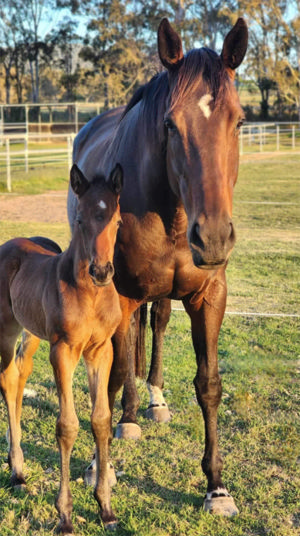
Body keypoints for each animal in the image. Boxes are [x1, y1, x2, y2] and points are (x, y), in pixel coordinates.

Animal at [0, 165, 122, 532]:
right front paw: (65, 515)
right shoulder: (63, 351)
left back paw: (16, 464)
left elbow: (101, 420)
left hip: (32, 334)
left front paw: (105, 508)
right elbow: (67, 426)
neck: (91, 294)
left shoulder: (100, 351)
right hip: (6, 329)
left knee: (18, 376)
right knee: (6, 379)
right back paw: (17, 470)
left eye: (117, 221)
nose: (101, 271)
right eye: (80, 219)